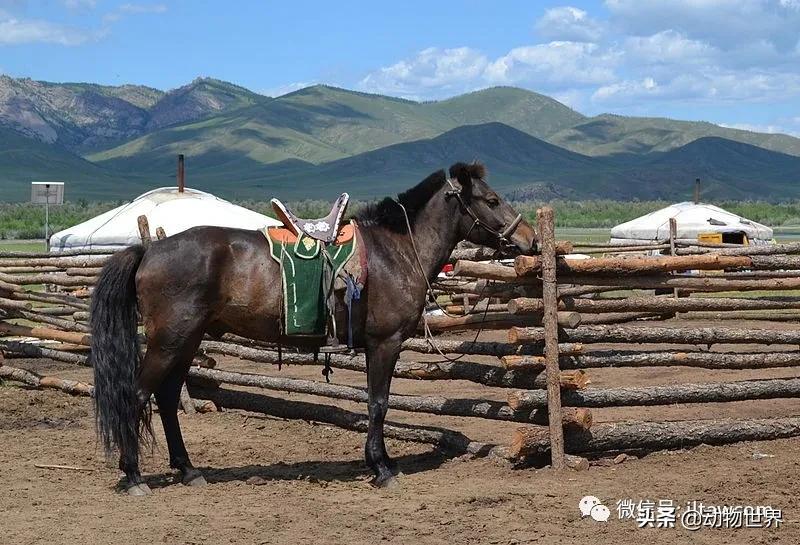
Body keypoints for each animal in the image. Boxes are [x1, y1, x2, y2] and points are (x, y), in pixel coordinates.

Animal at [90, 162, 536, 495]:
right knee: (137, 395)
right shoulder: (385, 343)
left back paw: (188, 470)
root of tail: (149, 250)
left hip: (187, 340)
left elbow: (375, 403)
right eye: (491, 199)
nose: (529, 239)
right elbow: (379, 403)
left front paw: (379, 462)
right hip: (170, 341)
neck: (395, 252)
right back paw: (134, 476)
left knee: (166, 398)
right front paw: (382, 468)